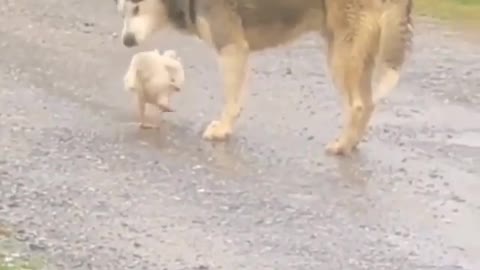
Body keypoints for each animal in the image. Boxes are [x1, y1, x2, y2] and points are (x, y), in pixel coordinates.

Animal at [112, 0, 412, 155]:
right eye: (122, 11)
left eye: (137, 8)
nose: (126, 41)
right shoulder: (239, 53)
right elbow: (237, 100)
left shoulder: (231, 48)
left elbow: (231, 101)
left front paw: (221, 131)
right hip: (354, 53)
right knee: (368, 104)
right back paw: (352, 143)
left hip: (342, 55)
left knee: (358, 105)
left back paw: (342, 145)